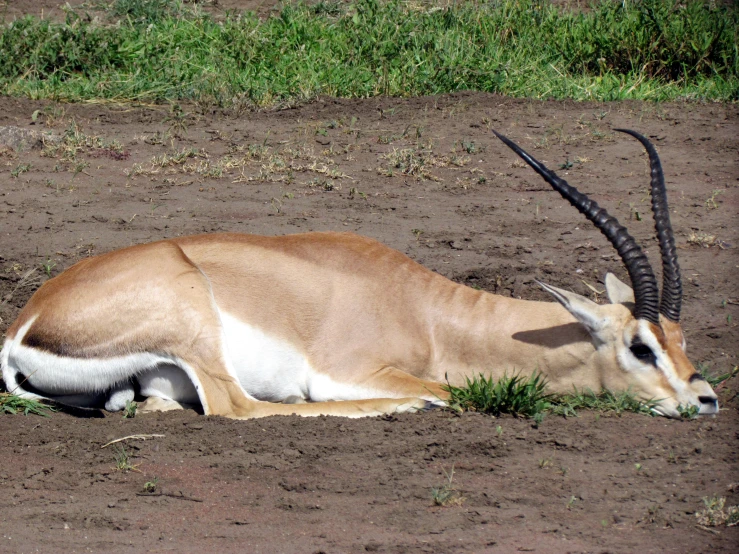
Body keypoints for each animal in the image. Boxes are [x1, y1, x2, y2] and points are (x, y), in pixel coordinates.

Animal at [0, 129, 716, 418]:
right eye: (641, 346)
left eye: (682, 342)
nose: (705, 399)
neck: (427, 312)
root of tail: (23, 325)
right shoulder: (348, 370)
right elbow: (451, 390)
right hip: (192, 317)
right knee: (241, 408)